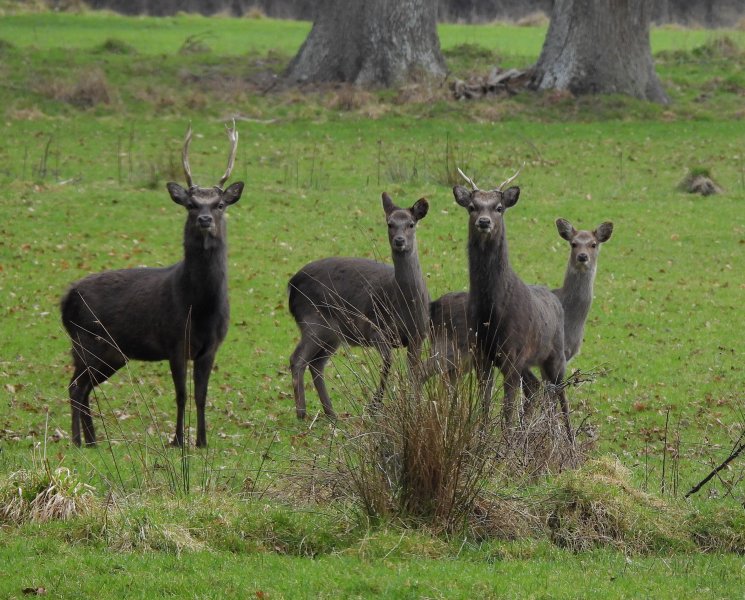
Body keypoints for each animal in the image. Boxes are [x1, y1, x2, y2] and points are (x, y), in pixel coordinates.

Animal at [60, 122, 244, 448]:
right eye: (190, 205)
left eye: (220, 203)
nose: (205, 219)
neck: (199, 307)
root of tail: (65, 299)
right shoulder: (173, 340)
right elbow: (181, 395)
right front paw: (177, 441)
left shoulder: (210, 347)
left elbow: (201, 396)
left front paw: (202, 441)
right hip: (86, 341)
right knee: (75, 387)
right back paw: (78, 441)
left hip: (111, 353)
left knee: (83, 387)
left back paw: (93, 441)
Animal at [287, 193, 429, 419]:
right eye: (389, 223)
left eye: (411, 224)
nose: (399, 241)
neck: (404, 305)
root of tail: (291, 285)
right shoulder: (375, 329)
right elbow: (387, 362)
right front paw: (374, 406)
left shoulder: (419, 335)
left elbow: (414, 373)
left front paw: (416, 407)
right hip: (313, 320)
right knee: (297, 359)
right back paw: (302, 413)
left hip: (332, 333)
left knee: (316, 363)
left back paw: (331, 414)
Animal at [452, 169, 572, 441]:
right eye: (472, 207)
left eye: (499, 207)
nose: (484, 221)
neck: (491, 312)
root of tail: (556, 301)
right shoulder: (481, 353)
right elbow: (485, 403)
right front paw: (482, 438)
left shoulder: (512, 353)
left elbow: (507, 410)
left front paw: (505, 444)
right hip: (528, 362)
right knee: (536, 387)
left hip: (555, 355)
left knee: (561, 395)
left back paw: (570, 441)